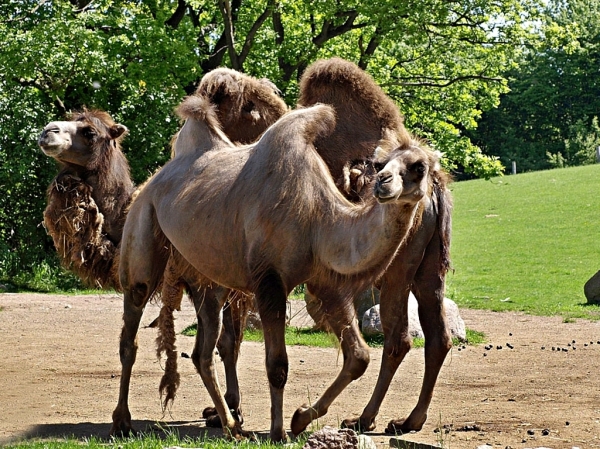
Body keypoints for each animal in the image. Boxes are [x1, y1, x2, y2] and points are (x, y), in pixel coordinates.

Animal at [39, 66, 288, 428]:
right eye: (70, 119)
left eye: (89, 132)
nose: (47, 132)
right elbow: (214, 343)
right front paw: (226, 409)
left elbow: (223, 343)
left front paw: (230, 410)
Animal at [113, 89, 440, 440]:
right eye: (379, 163)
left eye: (419, 166)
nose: (383, 183)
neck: (315, 217)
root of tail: (153, 180)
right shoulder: (269, 279)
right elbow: (278, 365)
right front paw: (278, 431)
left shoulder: (325, 282)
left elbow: (359, 357)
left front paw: (300, 418)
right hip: (143, 225)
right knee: (131, 329)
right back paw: (122, 421)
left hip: (206, 277)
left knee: (203, 350)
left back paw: (231, 425)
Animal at [298, 57, 452, 434]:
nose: (382, 180)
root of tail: (437, 188)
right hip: (429, 270)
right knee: (437, 337)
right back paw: (409, 419)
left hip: (397, 269)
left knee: (398, 339)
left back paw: (364, 417)